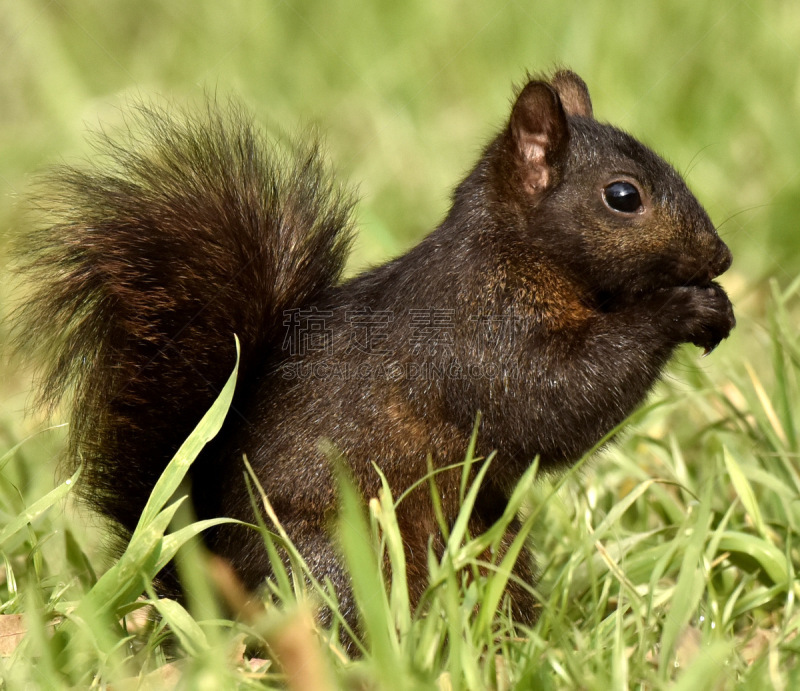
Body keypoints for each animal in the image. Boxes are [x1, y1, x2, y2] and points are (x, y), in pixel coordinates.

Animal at [15, 73, 736, 628]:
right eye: (623, 196)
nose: (722, 257)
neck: (517, 254)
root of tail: (207, 584)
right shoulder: (481, 335)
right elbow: (553, 400)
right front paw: (684, 308)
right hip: (337, 564)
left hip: (489, 541)